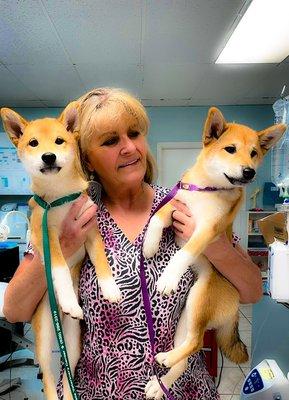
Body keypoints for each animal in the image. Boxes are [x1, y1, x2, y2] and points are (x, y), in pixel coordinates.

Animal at [0, 105, 120, 400]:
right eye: (33, 143)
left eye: (59, 141)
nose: (48, 156)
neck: (59, 197)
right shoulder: (49, 235)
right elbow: (59, 268)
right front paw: (67, 299)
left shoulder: (91, 231)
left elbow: (102, 261)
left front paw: (111, 288)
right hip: (44, 337)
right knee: (48, 375)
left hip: (74, 341)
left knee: (68, 371)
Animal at [143, 108, 284, 398]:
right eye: (231, 149)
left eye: (254, 153)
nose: (249, 172)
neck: (207, 188)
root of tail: (235, 307)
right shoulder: (177, 202)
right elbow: (157, 218)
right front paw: (149, 244)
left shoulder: (207, 230)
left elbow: (183, 253)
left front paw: (168, 277)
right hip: (188, 313)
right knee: (187, 355)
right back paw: (161, 383)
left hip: (199, 303)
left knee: (196, 343)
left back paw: (166, 364)